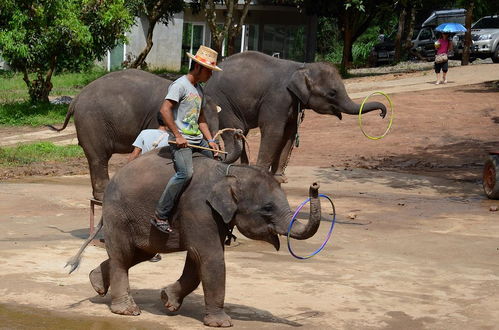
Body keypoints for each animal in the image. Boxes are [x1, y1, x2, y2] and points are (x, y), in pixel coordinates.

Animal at [67, 149, 324, 328]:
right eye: (268, 208)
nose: (315, 185)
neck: (228, 171)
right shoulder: (198, 208)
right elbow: (210, 257)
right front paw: (222, 324)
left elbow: (195, 259)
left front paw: (167, 300)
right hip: (119, 214)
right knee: (123, 255)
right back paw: (127, 311)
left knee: (138, 253)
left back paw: (96, 283)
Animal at [205, 51, 388, 183]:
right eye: (332, 93)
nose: (382, 114)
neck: (301, 67)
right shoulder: (277, 98)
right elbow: (274, 132)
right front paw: (261, 175)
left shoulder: (292, 104)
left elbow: (289, 134)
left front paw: (280, 179)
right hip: (222, 103)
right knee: (234, 131)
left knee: (242, 133)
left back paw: (242, 168)